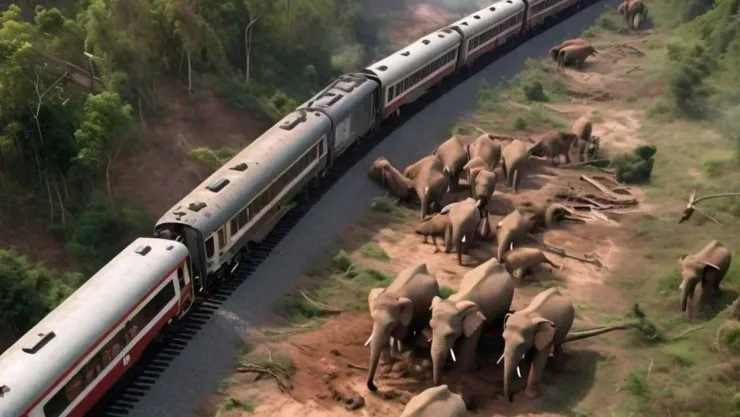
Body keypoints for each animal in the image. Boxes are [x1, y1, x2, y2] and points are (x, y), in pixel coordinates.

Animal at [366, 263, 440, 392]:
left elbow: (402, 333)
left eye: (391, 323)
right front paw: (385, 363)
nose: (374, 387)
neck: (393, 295)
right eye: (373, 318)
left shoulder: (407, 316)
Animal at [429, 257, 515, 385]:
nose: (439, 383)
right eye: (431, 327)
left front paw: (470, 369)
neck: (456, 301)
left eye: (451, 334)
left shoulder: (477, 322)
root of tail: (496, 261)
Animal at [501, 287, 635, 400]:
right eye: (503, 338)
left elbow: (540, 360)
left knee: (558, 343)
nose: (509, 396)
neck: (529, 315)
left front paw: (531, 396)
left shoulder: (548, 334)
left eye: (521, 344)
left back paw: (559, 369)